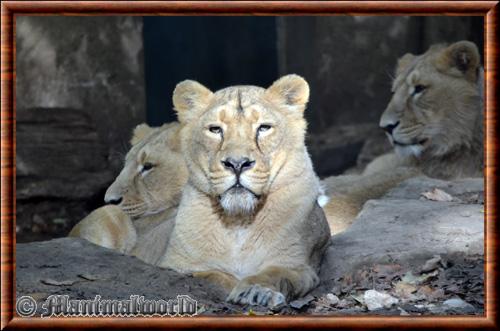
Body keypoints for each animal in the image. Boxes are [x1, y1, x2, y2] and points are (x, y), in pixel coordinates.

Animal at [159, 75, 332, 308]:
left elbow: (273, 273)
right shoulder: (174, 264)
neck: (238, 223)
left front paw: (255, 291)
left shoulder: (297, 265)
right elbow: (211, 274)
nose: (237, 163)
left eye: (264, 128)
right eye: (215, 130)